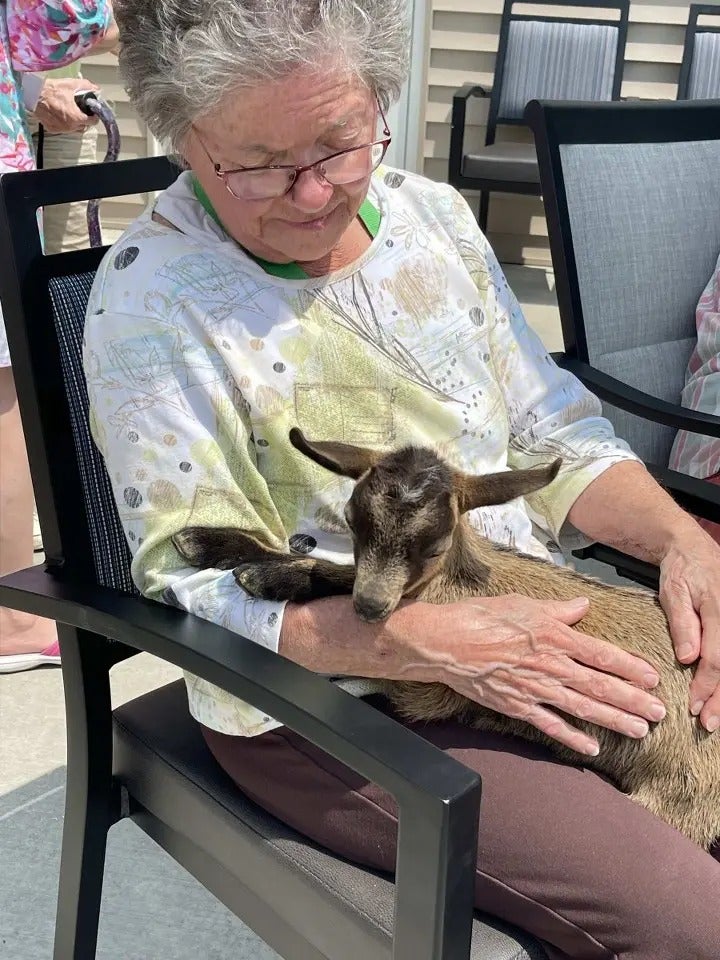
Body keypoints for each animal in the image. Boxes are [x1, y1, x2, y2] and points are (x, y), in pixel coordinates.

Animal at [174, 427, 720, 850]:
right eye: (351, 521)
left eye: (435, 545)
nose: (370, 608)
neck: (456, 587)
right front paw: (208, 542)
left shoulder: (424, 691)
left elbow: (342, 608)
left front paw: (266, 576)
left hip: (679, 802)